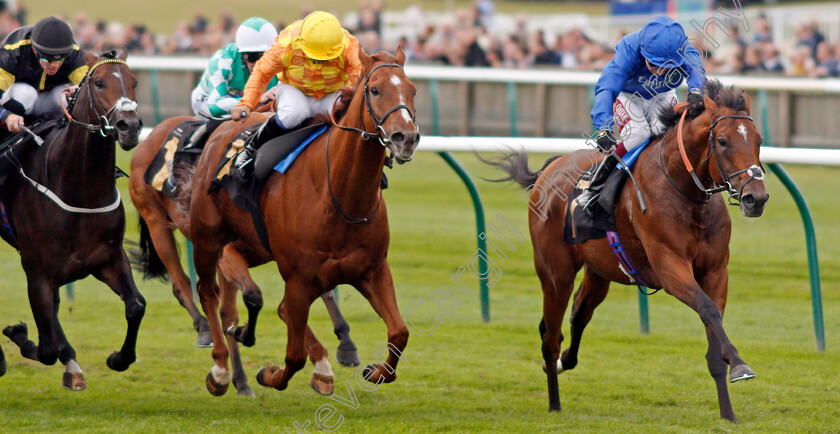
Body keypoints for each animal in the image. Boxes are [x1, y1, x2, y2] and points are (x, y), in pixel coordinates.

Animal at [0, 50, 145, 390]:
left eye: (134, 82)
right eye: (99, 82)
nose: (130, 126)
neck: (82, 191)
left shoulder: (108, 258)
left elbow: (135, 305)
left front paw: (118, 358)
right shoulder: (37, 271)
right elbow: (47, 348)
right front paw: (20, 334)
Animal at [129, 115, 360, 396]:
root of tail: (150, 137)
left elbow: (309, 297)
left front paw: (343, 347)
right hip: (158, 224)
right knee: (183, 284)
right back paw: (209, 337)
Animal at [185, 48, 418, 396]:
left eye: (413, 90)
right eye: (375, 90)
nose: (406, 137)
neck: (340, 196)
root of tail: (224, 129)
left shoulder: (372, 270)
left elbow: (399, 332)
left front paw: (374, 371)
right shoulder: (298, 277)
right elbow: (292, 356)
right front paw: (268, 373)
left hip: (254, 244)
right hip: (207, 238)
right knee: (207, 292)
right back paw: (221, 370)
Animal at [488, 79, 772, 422]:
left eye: (758, 140)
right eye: (722, 141)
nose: (756, 199)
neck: (684, 192)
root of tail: (551, 169)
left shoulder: (716, 271)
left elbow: (713, 325)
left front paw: (728, 411)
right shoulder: (670, 267)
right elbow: (707, 310)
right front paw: (740, 365)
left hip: (599, 271)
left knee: (579, 313)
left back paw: (563, 362)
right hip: (555, 274)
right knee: (550, 335)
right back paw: (554, 402)